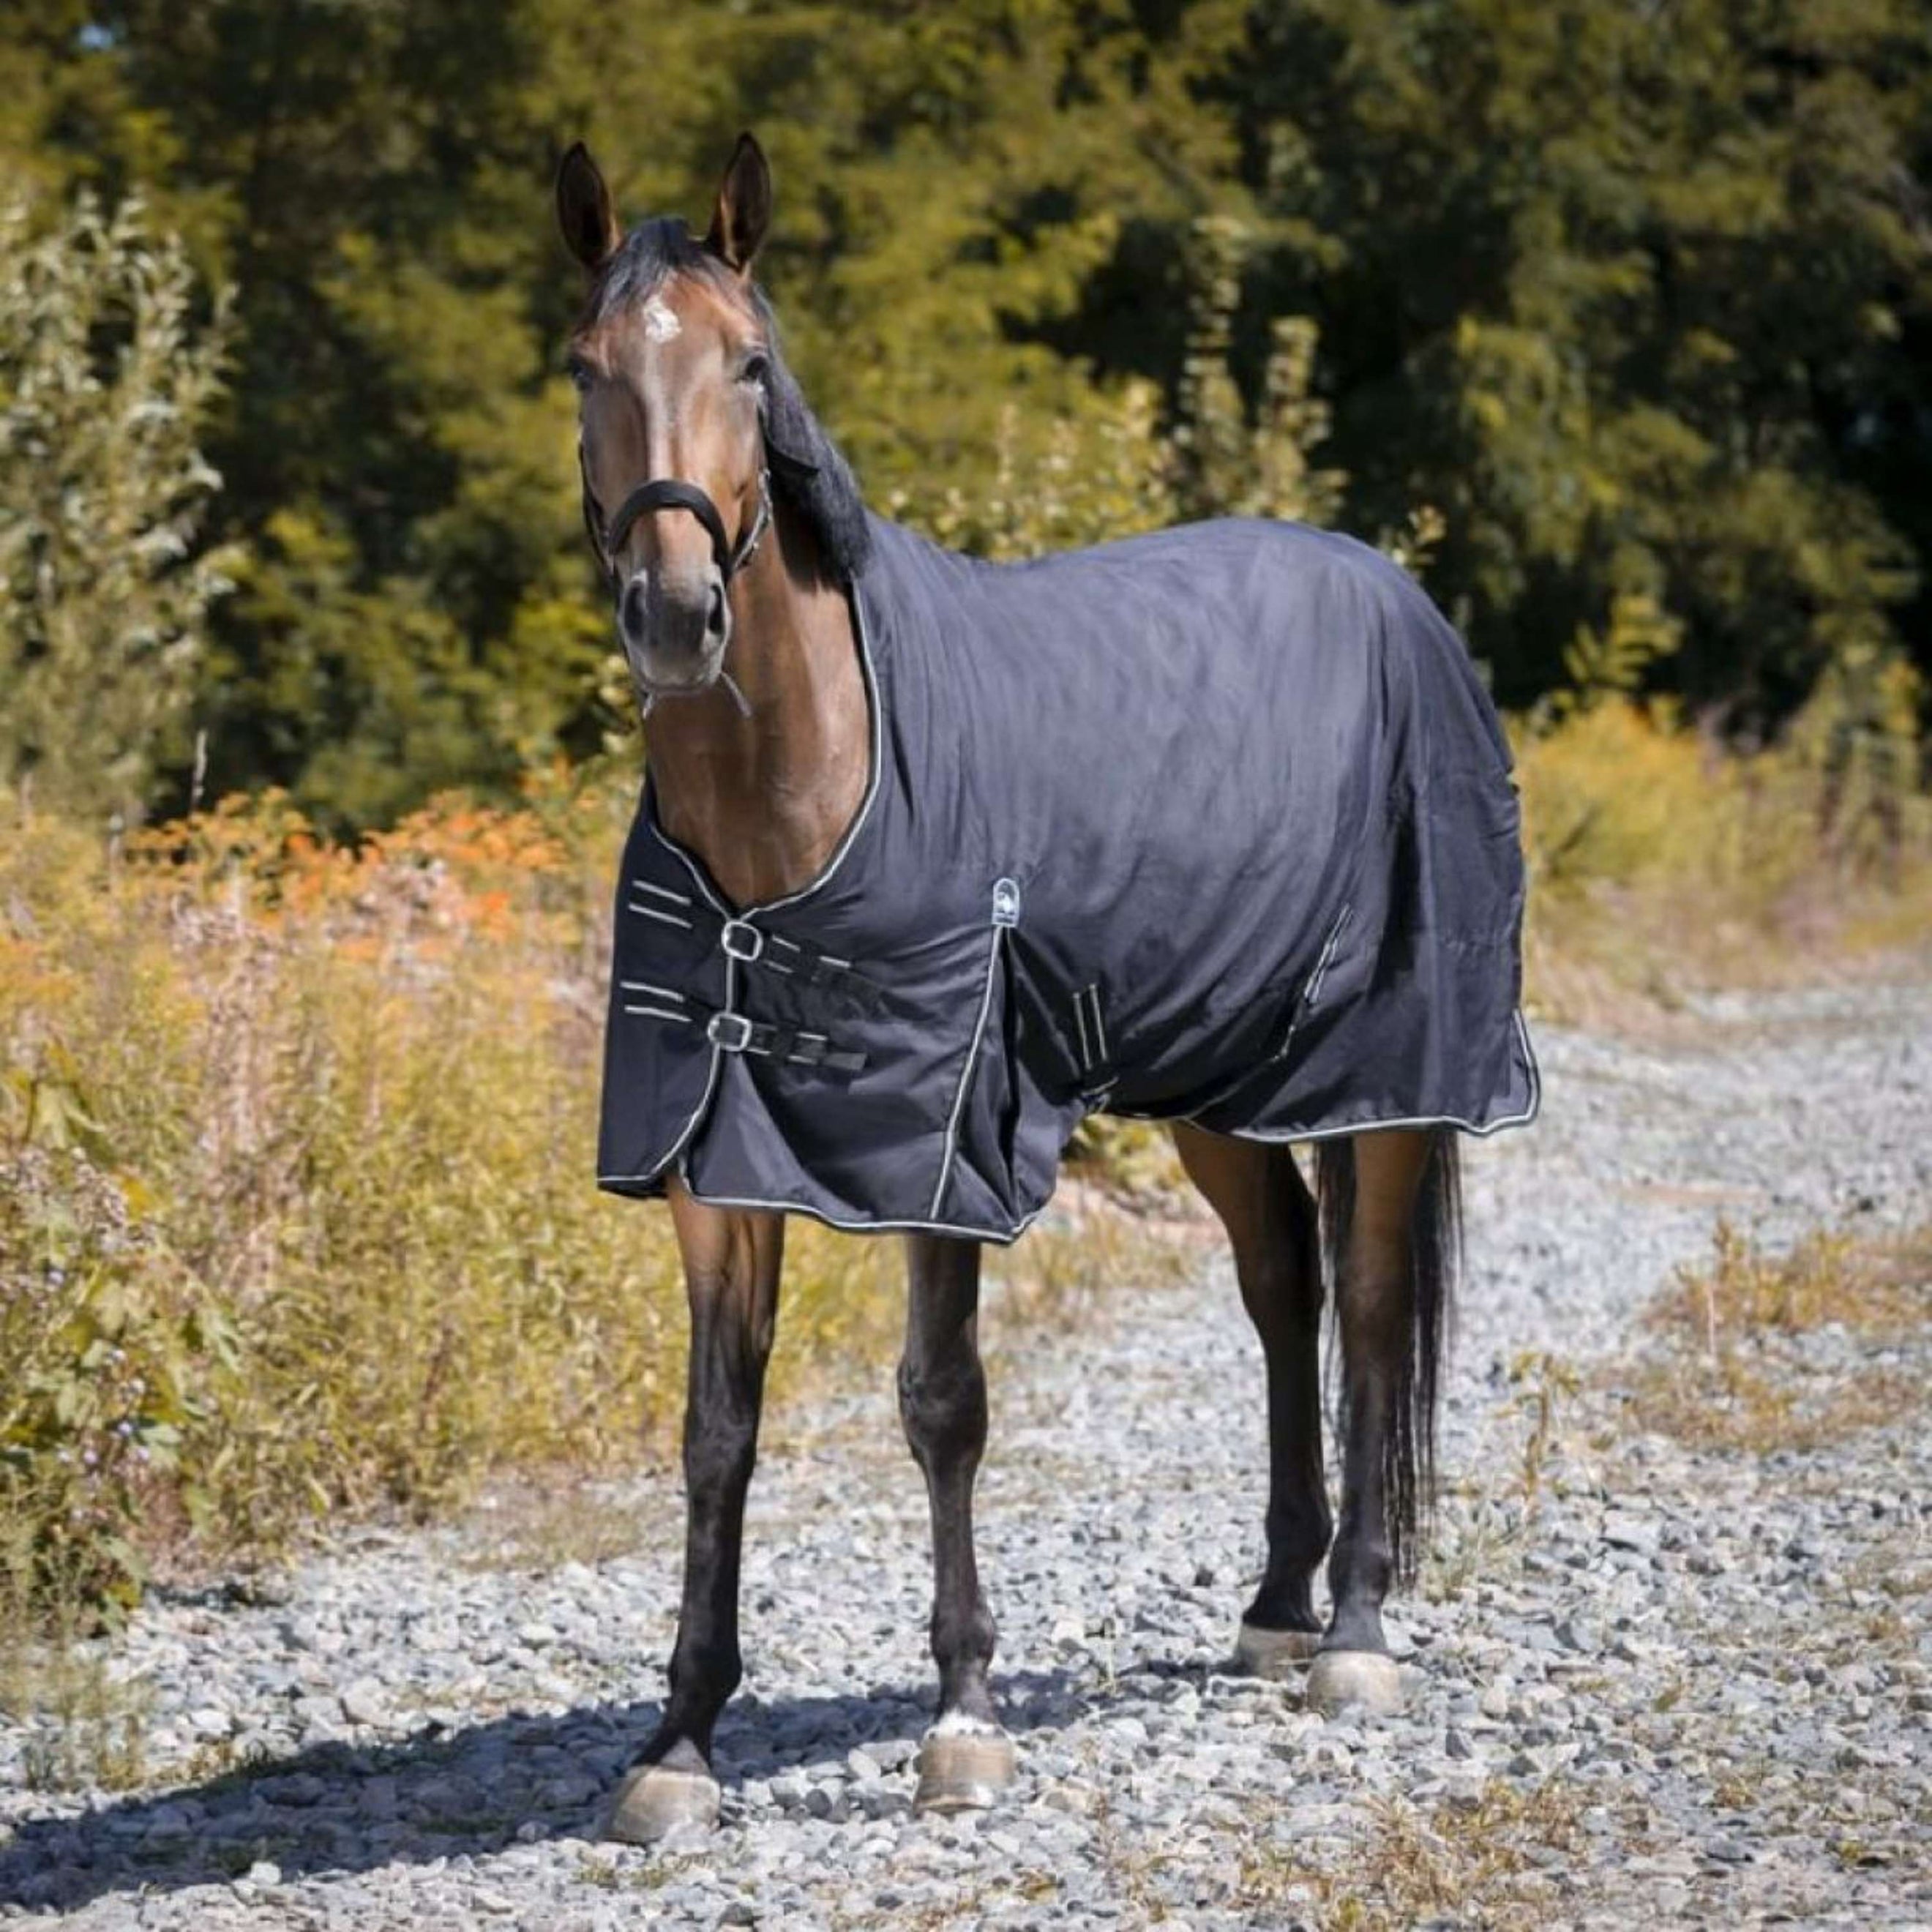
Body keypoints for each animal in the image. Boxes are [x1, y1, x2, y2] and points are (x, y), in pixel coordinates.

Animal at [555, 132, 1538, 1843]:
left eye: (750, 363)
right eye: (586, 366)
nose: (677, 618)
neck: (812, 784)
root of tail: (1399, 593)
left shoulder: (943, 1138)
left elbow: (941, 1400)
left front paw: (963, 1719)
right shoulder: (710, 1159)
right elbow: (716, 1432)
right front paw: (678, 1743)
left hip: (1394, 1068)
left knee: (1364, 1298)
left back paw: (1352, 1629)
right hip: (1215, 1071)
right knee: (1281, 1281)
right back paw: (1276, 1608)